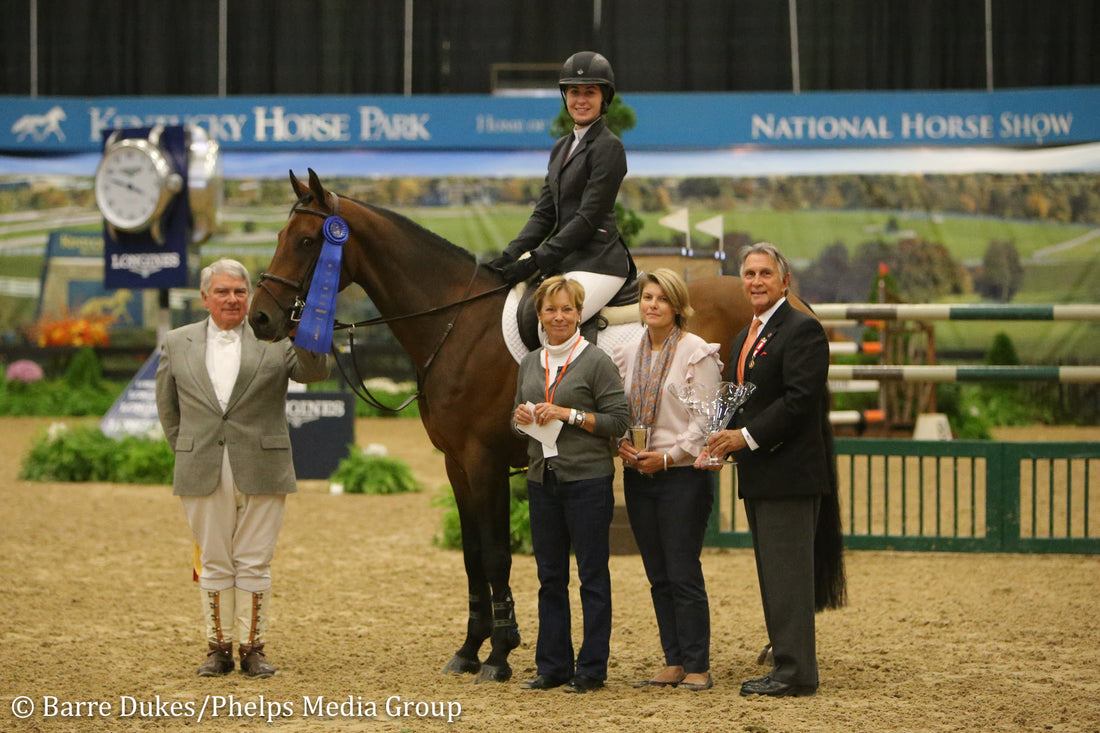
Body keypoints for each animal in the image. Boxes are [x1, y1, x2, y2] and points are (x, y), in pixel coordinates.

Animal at [251, 168, 849, 682]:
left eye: (307, 241)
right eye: (281, 234)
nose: (260, 317)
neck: (455, 323)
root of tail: (793, 301)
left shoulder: (483, 461)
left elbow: (495, 554)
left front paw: (500, 653)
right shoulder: (455, 465)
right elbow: (471, 556)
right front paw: (469, 650)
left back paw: (777, 653)